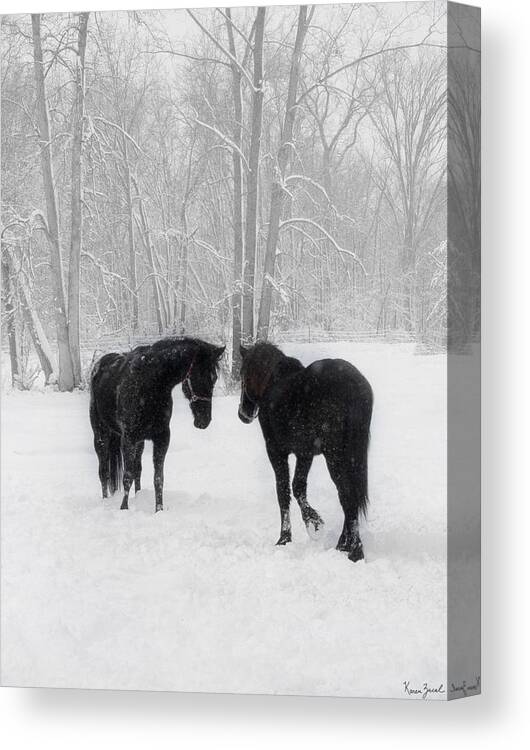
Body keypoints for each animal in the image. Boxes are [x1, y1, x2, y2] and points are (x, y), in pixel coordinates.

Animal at [91, 338, 223, 516]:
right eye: (200, 376)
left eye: (214, 378)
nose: (204, 420)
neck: (150, 383)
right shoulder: (129, 439)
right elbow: (127, 476)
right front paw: (124, 508)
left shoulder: (161, 438)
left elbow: (158, 478)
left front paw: (159, 509)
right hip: (101, 434)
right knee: (104, 470)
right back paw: (105, 500)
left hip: (139, 442)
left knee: (137, 470)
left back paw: (139, 495)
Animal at [238, 344, 372, 560]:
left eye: (243, 373)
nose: (243, 414)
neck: (274, 382)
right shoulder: (305, 453)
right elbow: (298, 487)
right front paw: (313, 522)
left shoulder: (276, 451)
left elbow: (284, 491)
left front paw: (291, 534)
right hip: (348, 456)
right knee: (350, 496)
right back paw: (344, 545)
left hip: (334, 456)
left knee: (347, 495)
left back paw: (355, 550)